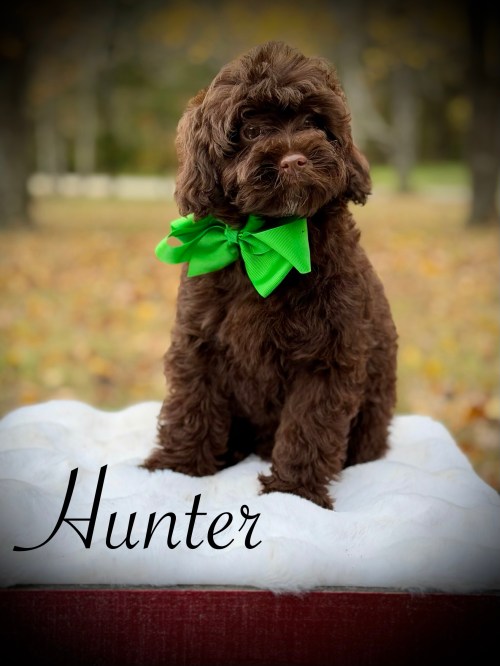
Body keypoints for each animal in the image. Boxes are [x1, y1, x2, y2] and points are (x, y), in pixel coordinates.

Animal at [143, 41, 398, 509]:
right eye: (250, 130)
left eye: (315, 122)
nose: (295, 160)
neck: (263, 241)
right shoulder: (200, 341)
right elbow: (192, 403)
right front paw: (178, 467)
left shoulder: (328, 356)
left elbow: (308, 427)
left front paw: (294, 493)